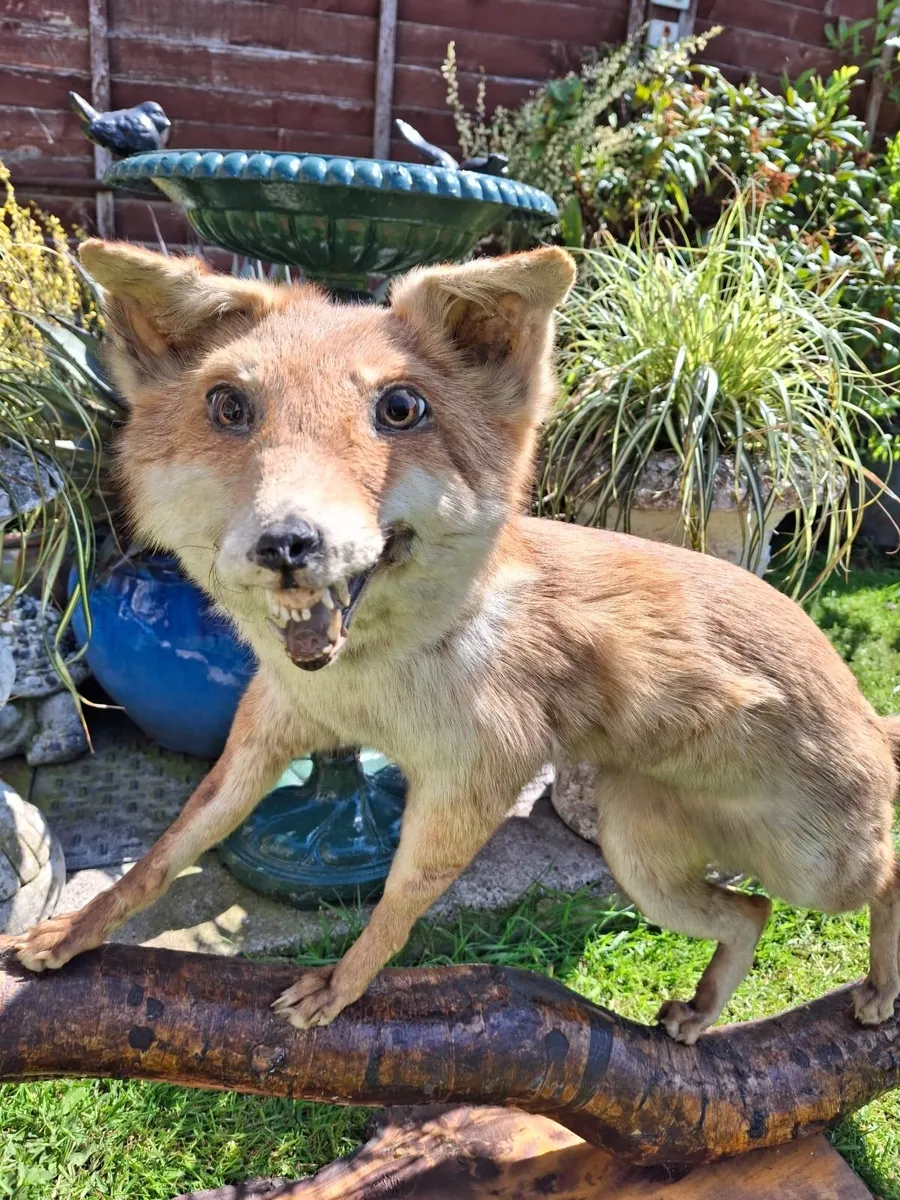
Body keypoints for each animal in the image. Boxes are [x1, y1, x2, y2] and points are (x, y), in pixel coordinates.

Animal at [8, 239, 900, 1045]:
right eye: (229, 407)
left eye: (400, 409)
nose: (288, 542)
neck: (369, 687)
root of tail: (865, 710)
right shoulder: (267, 736)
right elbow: (164, 853)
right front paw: (72, 933)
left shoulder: (475, 783)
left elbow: (396, 907)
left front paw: (341, 985)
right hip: (643, 864)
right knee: (751, 914)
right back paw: (702, 1011)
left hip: (817, 867)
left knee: (884, 878)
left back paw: (879, 992)